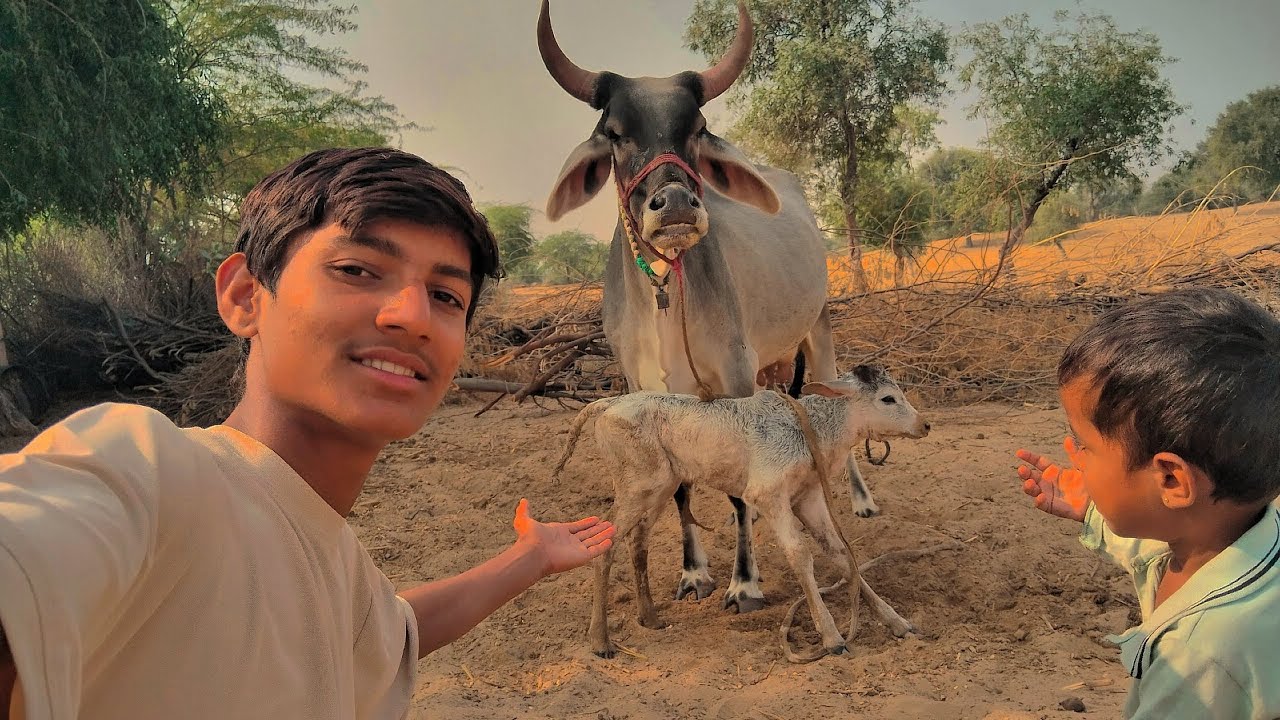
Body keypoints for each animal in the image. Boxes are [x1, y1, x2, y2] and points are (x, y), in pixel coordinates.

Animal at [537, 0, 881, 614]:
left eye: (696, 129)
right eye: (615, 133)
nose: (674, 202)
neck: (666, 304)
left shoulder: (735, 382)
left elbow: (741, 494)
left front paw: (745, 581)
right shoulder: (651, 394)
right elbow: (681, 487)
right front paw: (694, 572)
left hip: (817, 332)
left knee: (838, 398)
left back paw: (861, 498)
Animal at [553, 364, 931, 661]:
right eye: (888, 398)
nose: (924, 425)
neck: (809, 429)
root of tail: (608, 402)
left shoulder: (807, 497)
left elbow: (840, 553)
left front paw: (896, 621)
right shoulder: (767, 495)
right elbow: (800, 555)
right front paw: (832, 637)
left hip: (659, 487)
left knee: (637, 543)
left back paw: (650, 618)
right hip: (638, 486)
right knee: (606, 547)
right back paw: (601, 641)